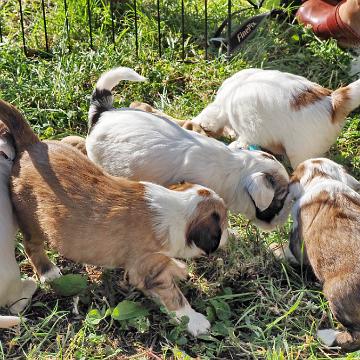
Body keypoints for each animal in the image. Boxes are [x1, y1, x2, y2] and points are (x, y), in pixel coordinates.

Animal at [0, 99, 228, 338]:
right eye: (223, 224)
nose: (228, 236)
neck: (177, 206)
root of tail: (31, 144)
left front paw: (177, 267)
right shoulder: (149, 269)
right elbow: (173, 296)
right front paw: (195, 321)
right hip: (30, 219)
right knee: (32, 246)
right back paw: (49, 272)